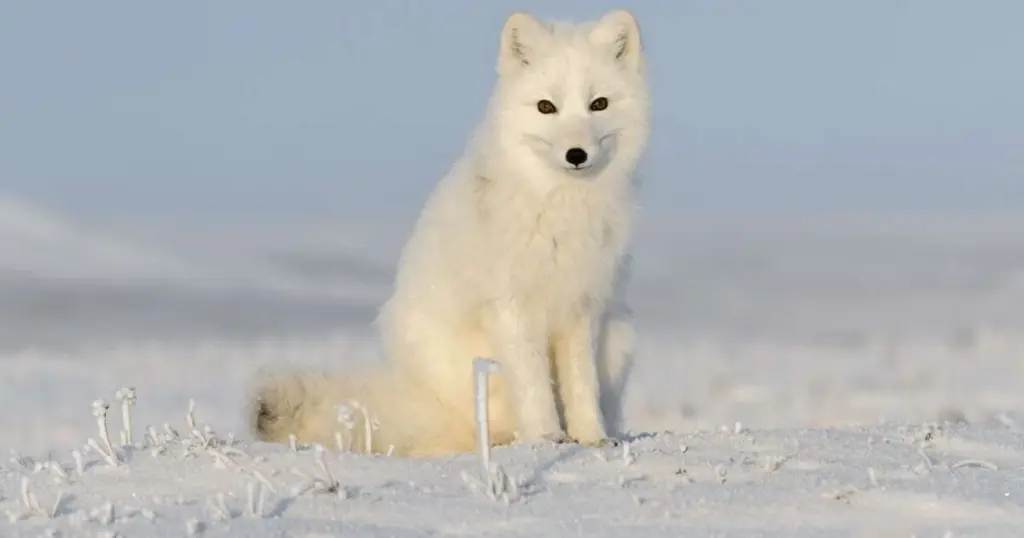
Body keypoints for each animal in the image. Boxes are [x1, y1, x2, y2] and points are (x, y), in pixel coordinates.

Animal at [249, 8, 650, 457]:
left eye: (599, 104)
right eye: (546, 107)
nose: (576, 155)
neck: (560, 206)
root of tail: (417, 400)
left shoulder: (581, 306)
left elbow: (581, 384)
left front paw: (591, 437)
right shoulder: (511, 307)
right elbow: (533, 385)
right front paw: (547, 438)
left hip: (620, 336)